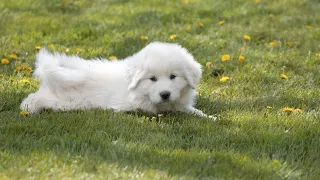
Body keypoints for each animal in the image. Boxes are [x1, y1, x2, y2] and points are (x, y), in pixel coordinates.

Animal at [21, 42, 212, 118]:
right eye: (152, 79)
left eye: (173, 76)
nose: (165, 94)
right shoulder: (130, 105)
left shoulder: (180, 104)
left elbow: (193, 111)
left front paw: (210, 117)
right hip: (64, 100)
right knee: (32, 98)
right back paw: (29, 108)